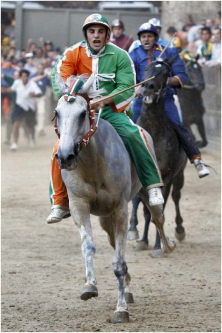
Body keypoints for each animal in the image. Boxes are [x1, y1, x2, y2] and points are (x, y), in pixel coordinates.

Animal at [53, 74, 175, 322]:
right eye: (57, 113)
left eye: (83, 113)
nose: (65, 156)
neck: (94, 162)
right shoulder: (80, 206)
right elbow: (88, 247)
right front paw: (90, 286)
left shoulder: (120, 209)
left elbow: (119, 263)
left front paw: (121, 310)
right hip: (104, 218)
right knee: (113, 243)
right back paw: (126, 288)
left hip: (145, 195)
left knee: (158, 219)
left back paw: (166, 246)